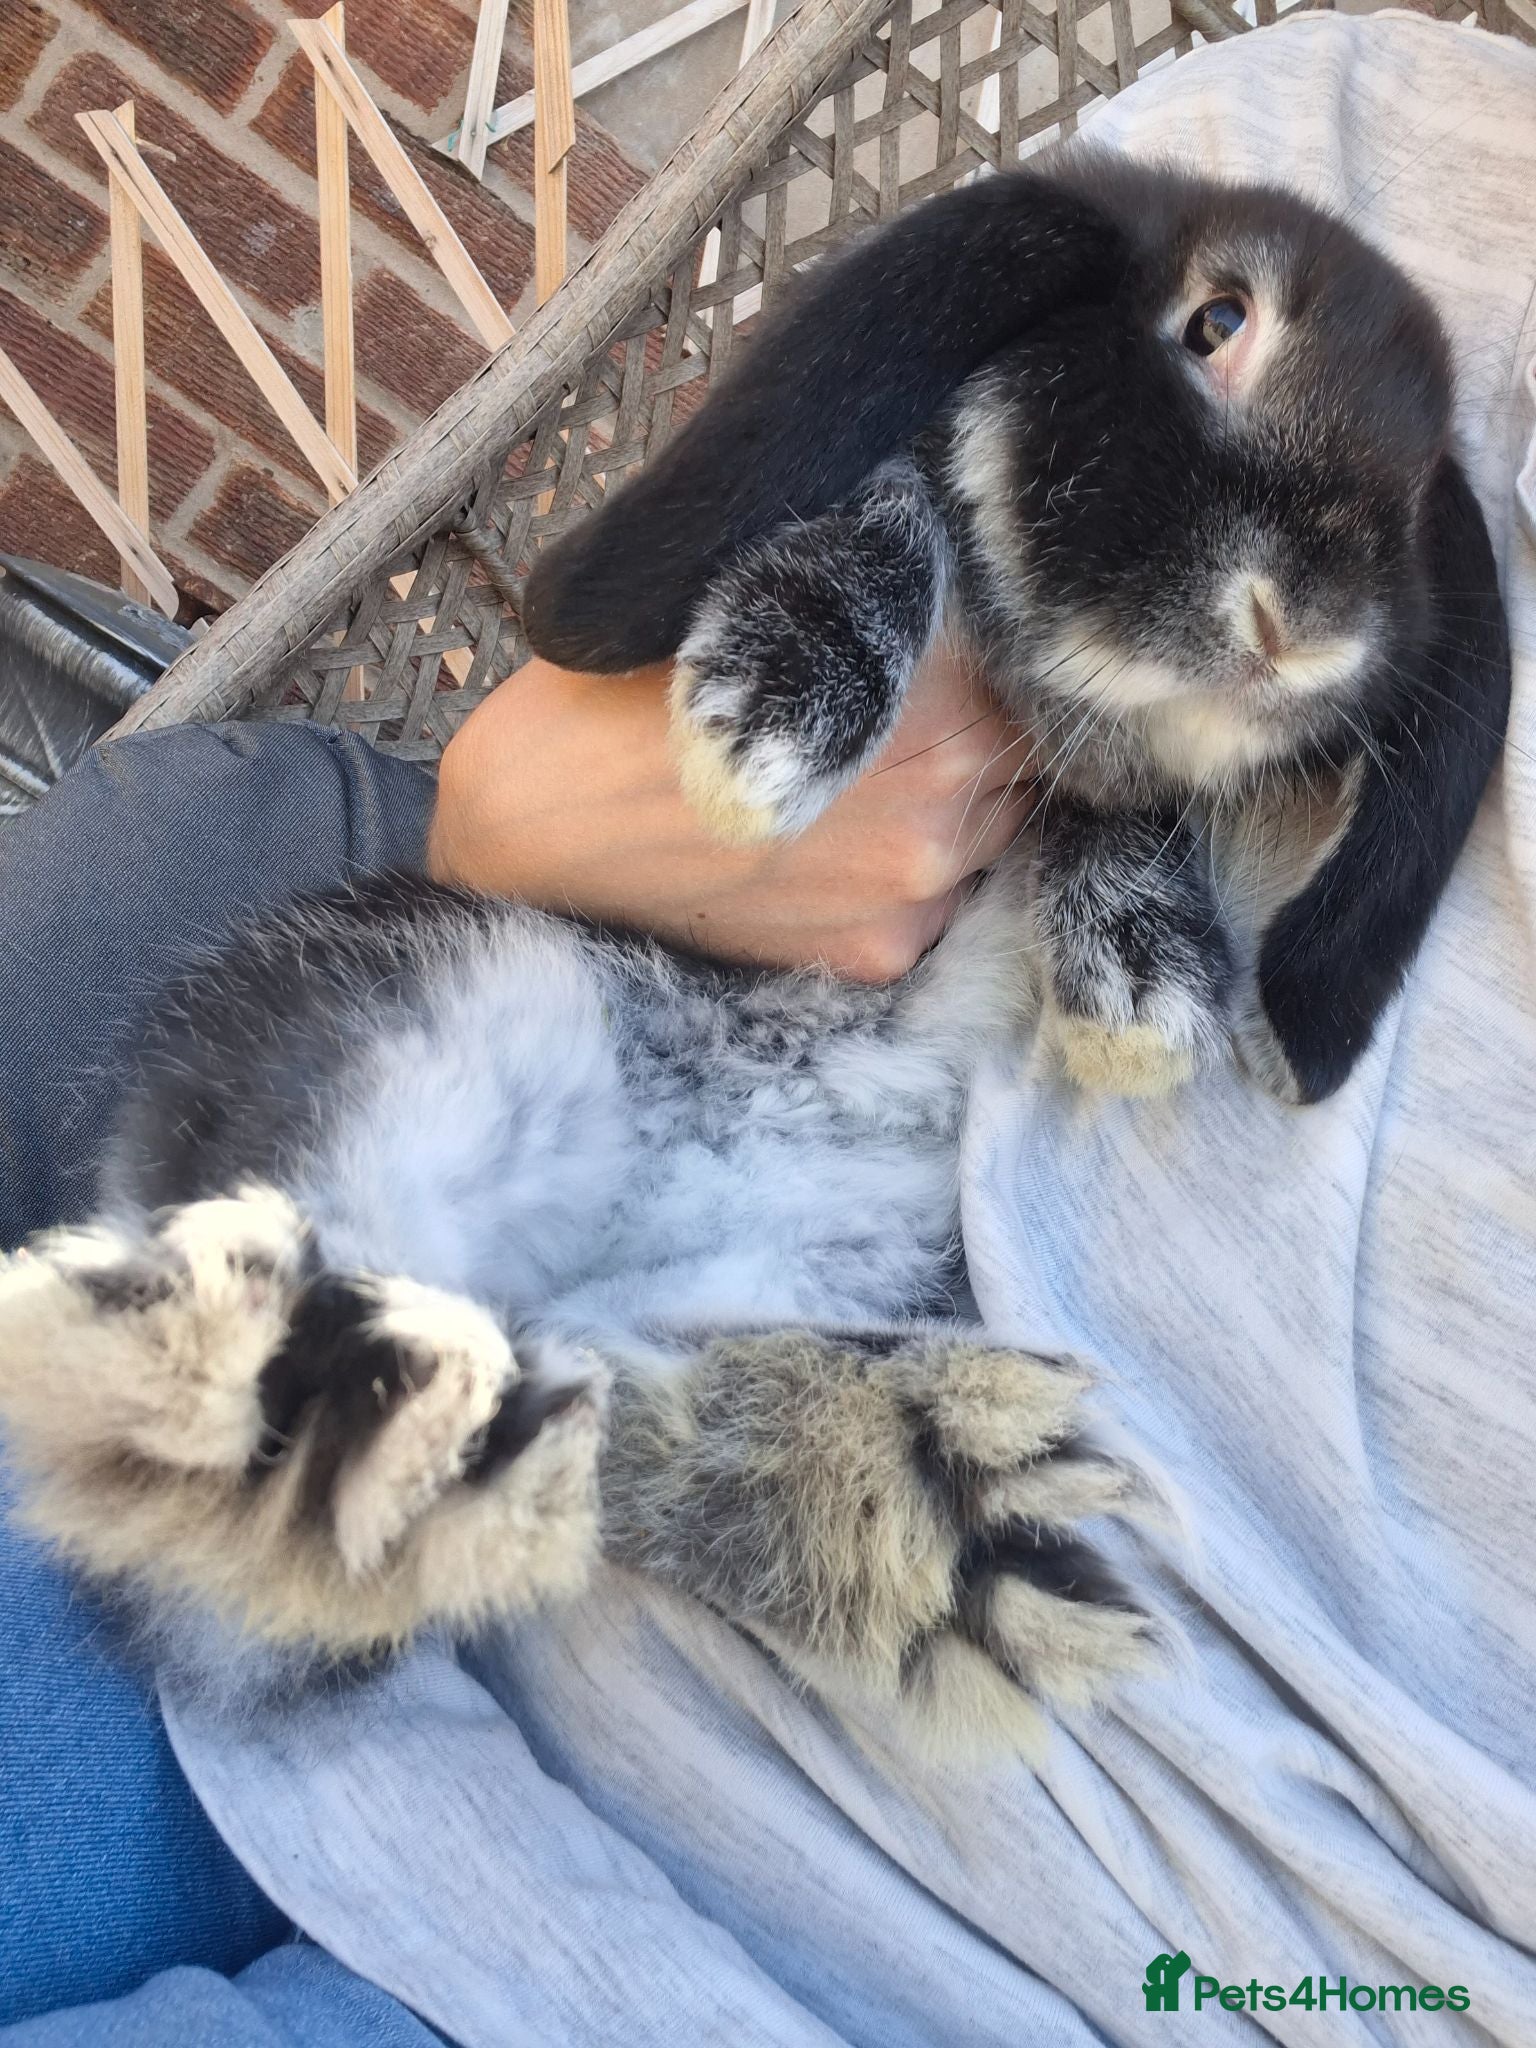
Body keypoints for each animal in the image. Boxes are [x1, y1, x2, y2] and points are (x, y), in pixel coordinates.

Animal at [525, 152, 1512, 1104]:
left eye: (1421, 493)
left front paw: (1138, 991)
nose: (1305, 633)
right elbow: (898, 501)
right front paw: (774, 716)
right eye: (1218, 322)